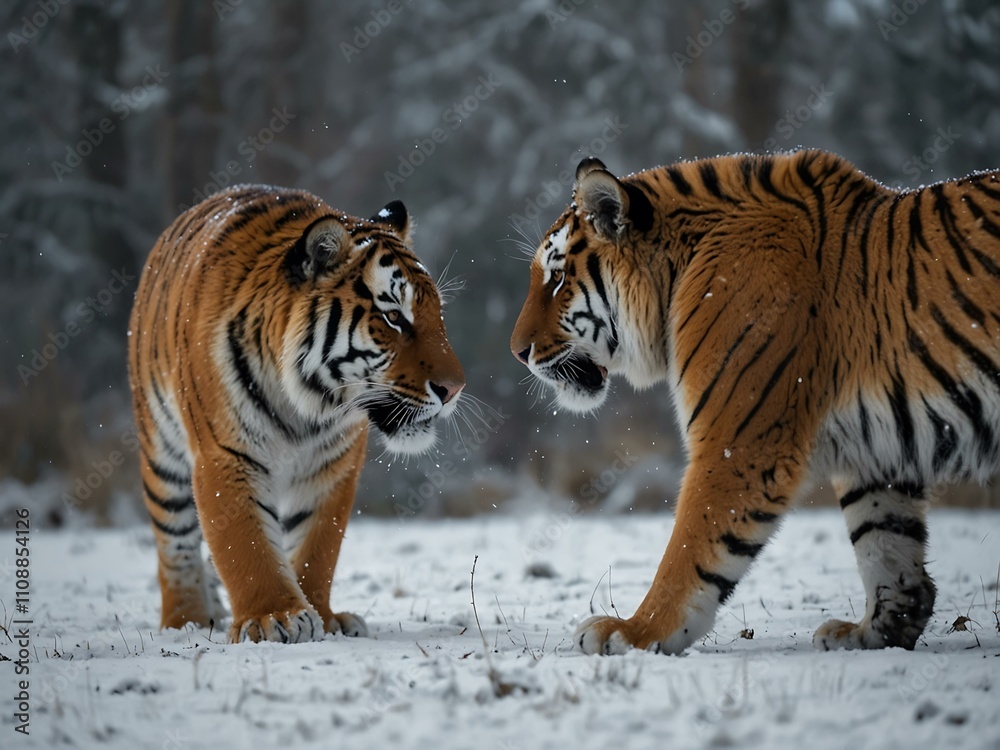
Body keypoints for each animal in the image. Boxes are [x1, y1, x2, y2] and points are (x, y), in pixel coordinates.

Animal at [128, 185, 465, 643]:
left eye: (438, 315)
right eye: (394, 317)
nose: (455, 389)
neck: (308, 406)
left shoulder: (333, 466)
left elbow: (316, 548)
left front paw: (323, 616)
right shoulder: (226, 455)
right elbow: (244, 543)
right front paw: (273, 618)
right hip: (161, 457)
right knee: (174, 546)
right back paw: (187, 621)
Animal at [511, 149, 1000, 654]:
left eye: (557, 279)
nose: (517, 351)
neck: (677, 278)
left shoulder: (738, 442)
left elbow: (688, 551)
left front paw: (634, 631)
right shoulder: (876, 453)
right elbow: (883, 541)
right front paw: (874, 632)